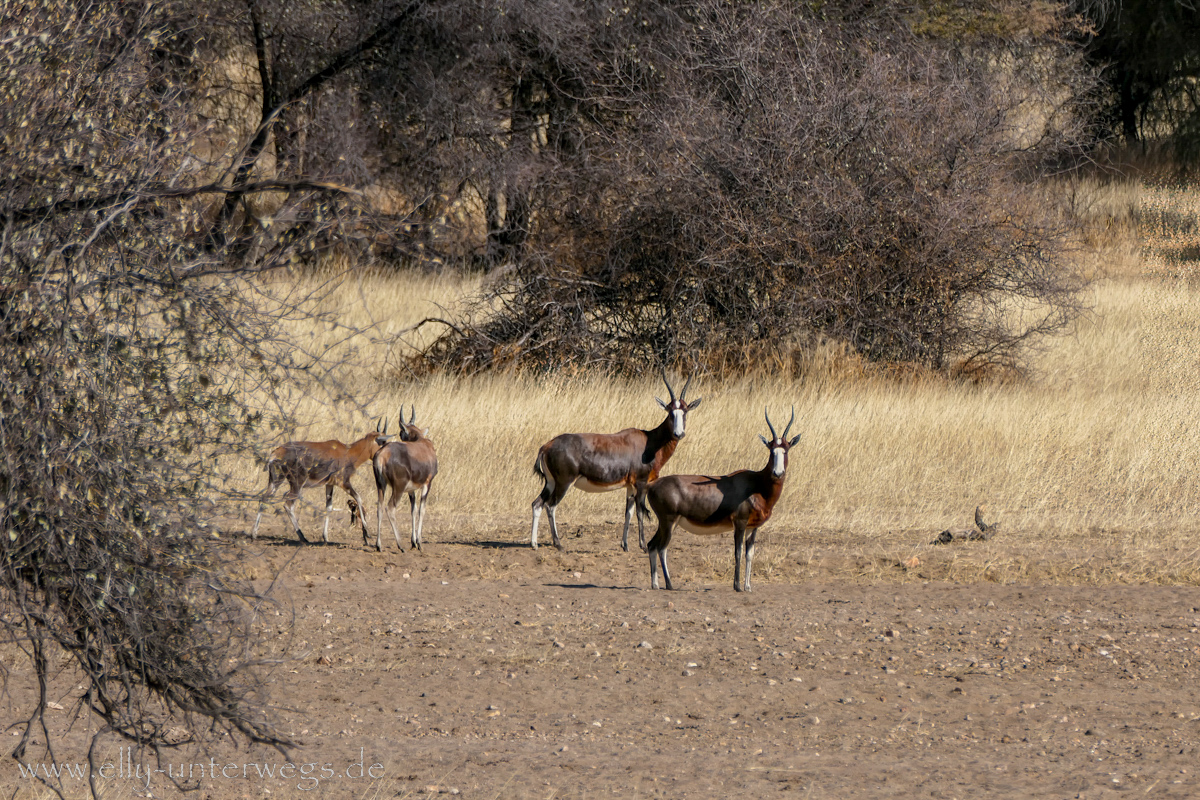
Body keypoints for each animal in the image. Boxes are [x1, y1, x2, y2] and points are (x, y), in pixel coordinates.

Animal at [250, 419, 391, 544]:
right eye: (383, 442)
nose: (384, 457)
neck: (347, 451)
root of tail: (277, 452)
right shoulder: (343, 482)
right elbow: (359, 498)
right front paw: (367, 532)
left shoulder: (329, 484)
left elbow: (329, 507)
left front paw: (326, 537)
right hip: (296, 484)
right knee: (288, 505)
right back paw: (303, 537)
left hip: (276, 480)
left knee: (264, 498)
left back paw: (254, 534)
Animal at [372, 407, 439, 551]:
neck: (422, 443)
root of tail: (382, 454)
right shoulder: (427, 484)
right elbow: (421, 510)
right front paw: (419, 542)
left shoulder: (410, 490)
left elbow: (413, 510)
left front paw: (413, 542)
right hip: (398, 487)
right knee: (390, 508)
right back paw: (400, 545)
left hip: (380, 485)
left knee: (380, 507)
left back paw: (379, 545)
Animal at [530, 371, 700, 551]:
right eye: (670, 412)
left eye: (685, 411)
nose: (678, 434)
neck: (649, 440)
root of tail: (547, 446)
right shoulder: (641, 483)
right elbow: (640, 512)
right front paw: (643, 545)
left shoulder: (630, 486)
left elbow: (628, 513)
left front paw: (625, 545)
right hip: (564, 482)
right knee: (550, 506)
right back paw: (558, 544)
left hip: (550, 482)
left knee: (537, 503)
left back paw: (534, 544)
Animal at [643, 410, 801, 592]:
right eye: (771, 451)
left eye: (785, 451)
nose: (777, 473)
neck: (757, 484)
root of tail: (652, 485)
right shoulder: (739, 523)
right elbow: (738, 552)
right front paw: (737, 586)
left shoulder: (753, 527)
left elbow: (750, 554)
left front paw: (748, 587)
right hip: (669, 521)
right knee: (662, 548)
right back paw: (669, 584)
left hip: (667, 523)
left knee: (652, 545)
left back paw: (655, 584)